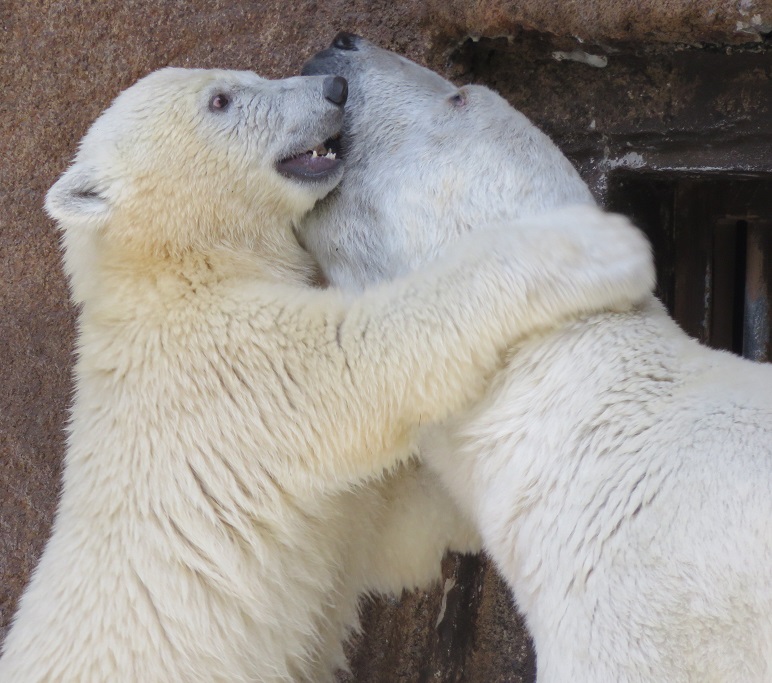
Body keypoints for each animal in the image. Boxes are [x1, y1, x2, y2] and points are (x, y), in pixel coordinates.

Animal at [0, 65, 652, 683]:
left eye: (251, 75)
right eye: (221, 99)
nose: (333, 87)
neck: (172, 271)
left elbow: (398, 533)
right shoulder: (229, 366)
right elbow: (365, 352)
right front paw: (593, 245)